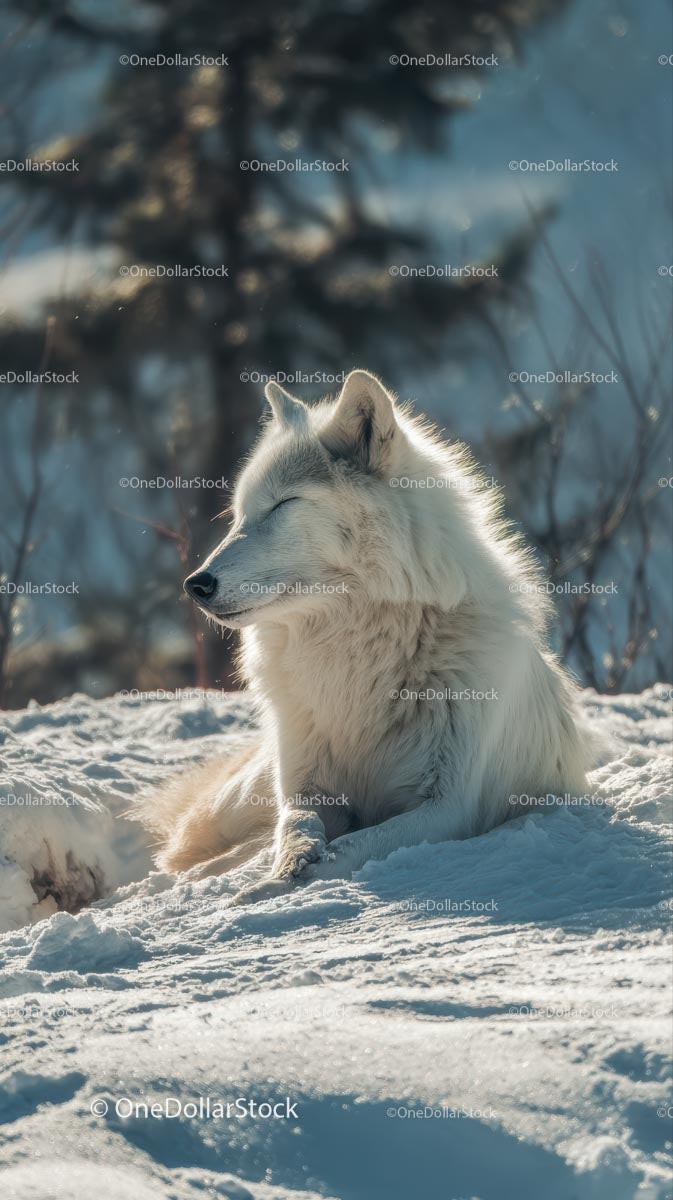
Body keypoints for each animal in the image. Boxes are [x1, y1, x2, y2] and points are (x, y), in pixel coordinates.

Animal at [137, 369, 592, 904]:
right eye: (240, 515)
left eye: (283, 504)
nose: (195, 584)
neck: (357, 655)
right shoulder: (304, 784)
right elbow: (295, 827)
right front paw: (279, 869)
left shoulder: (448, 808)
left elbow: (349, 847)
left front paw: (272, 889)